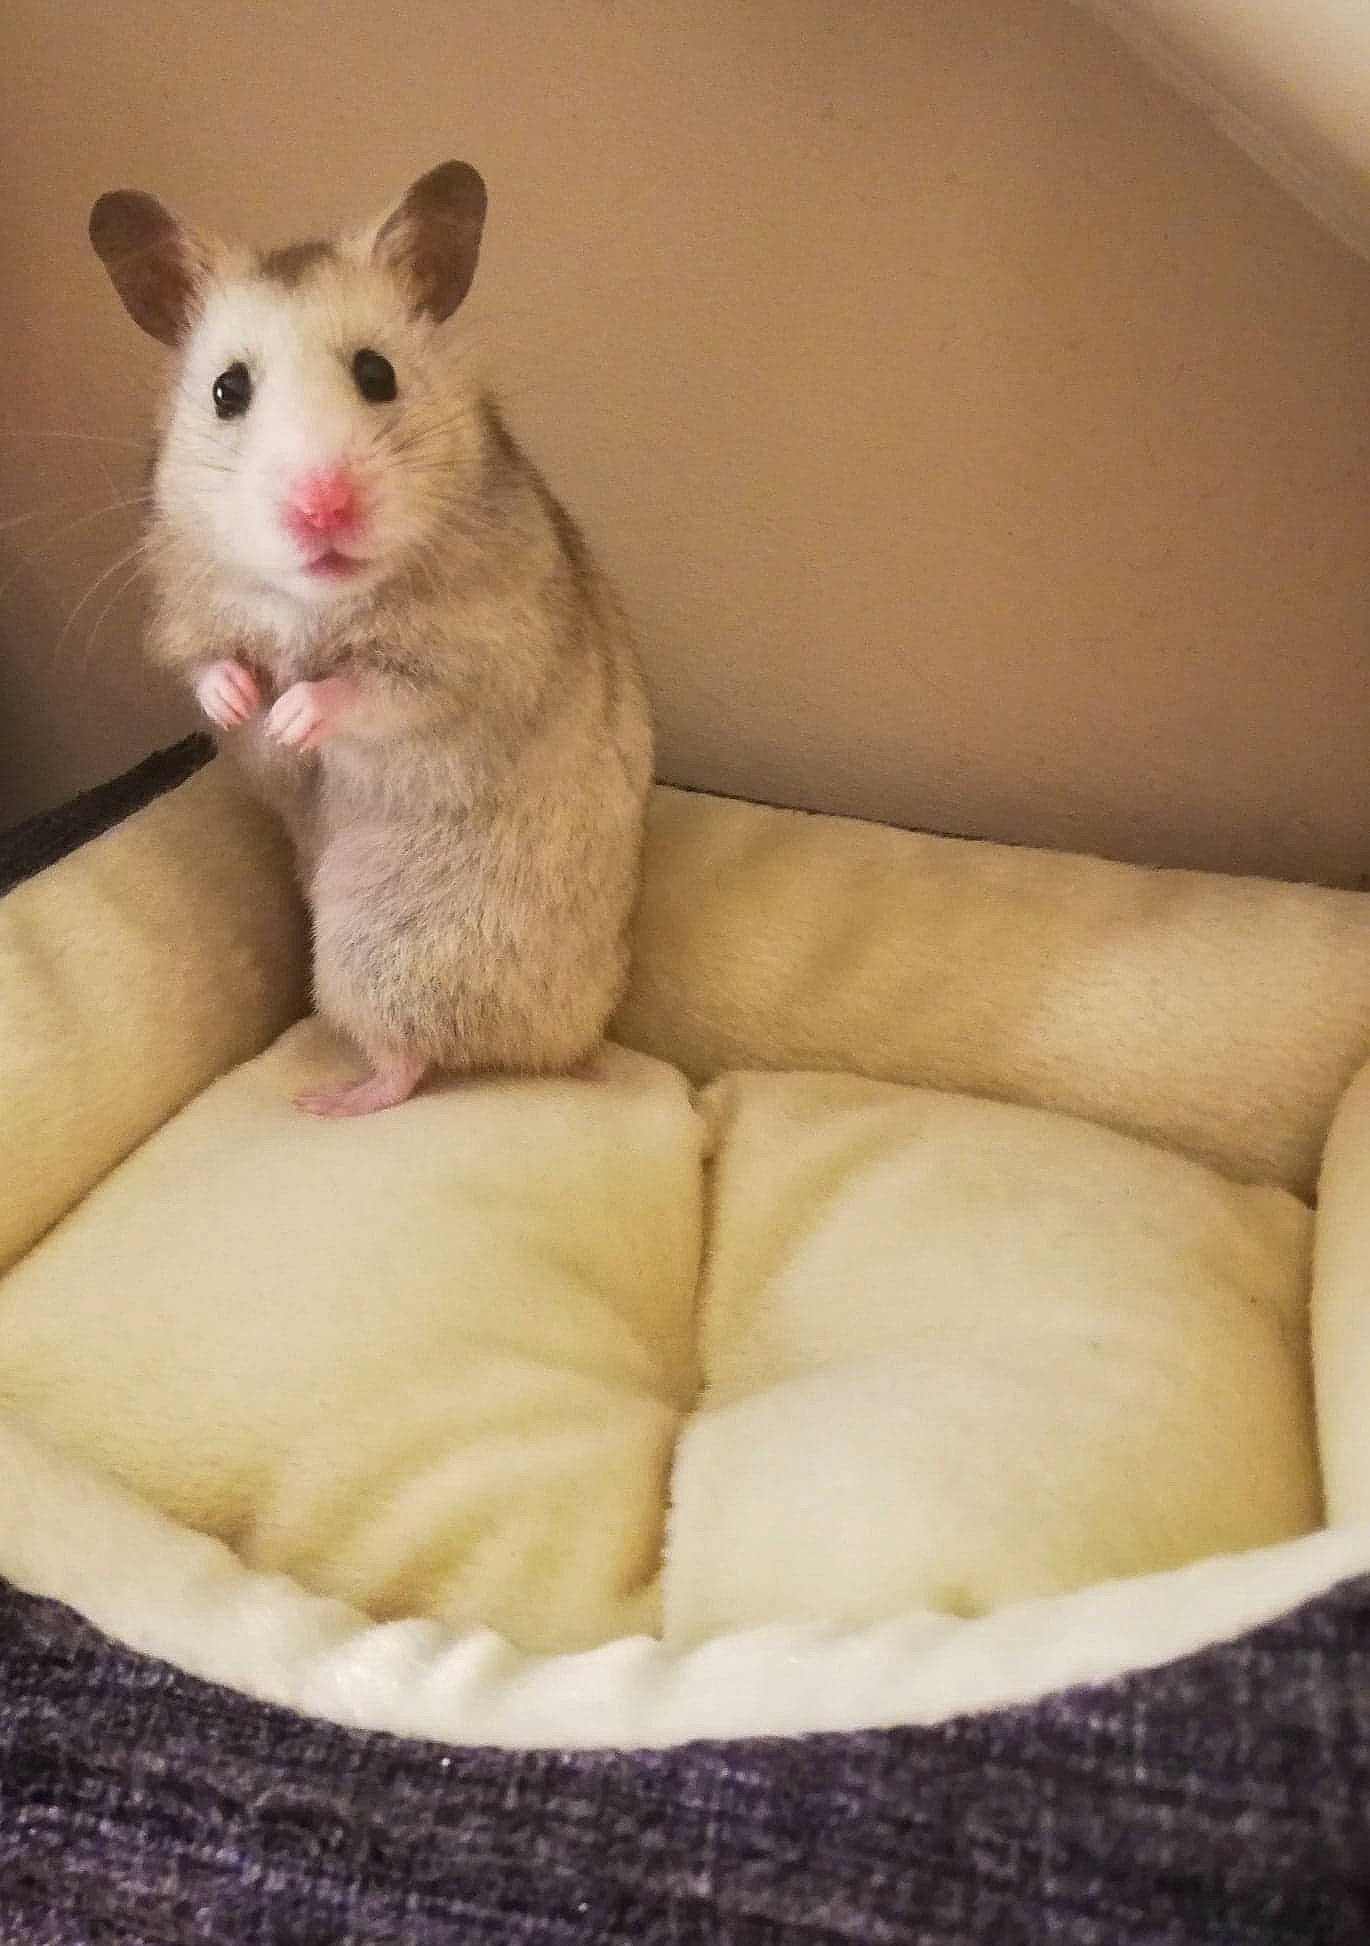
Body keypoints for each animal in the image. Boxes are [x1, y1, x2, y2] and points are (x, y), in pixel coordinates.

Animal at [89, 162, 653, 1117]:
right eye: (226, 391)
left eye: (377, 373)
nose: (322, 508)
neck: (313, 600)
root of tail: (570, 1044)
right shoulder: (185, 613)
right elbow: (208, 664)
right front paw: (242, 701)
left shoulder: (467, 662)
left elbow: (366, 689)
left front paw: (289, 720)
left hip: (380, 951)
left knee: (410, 1060)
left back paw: (331, 1102)